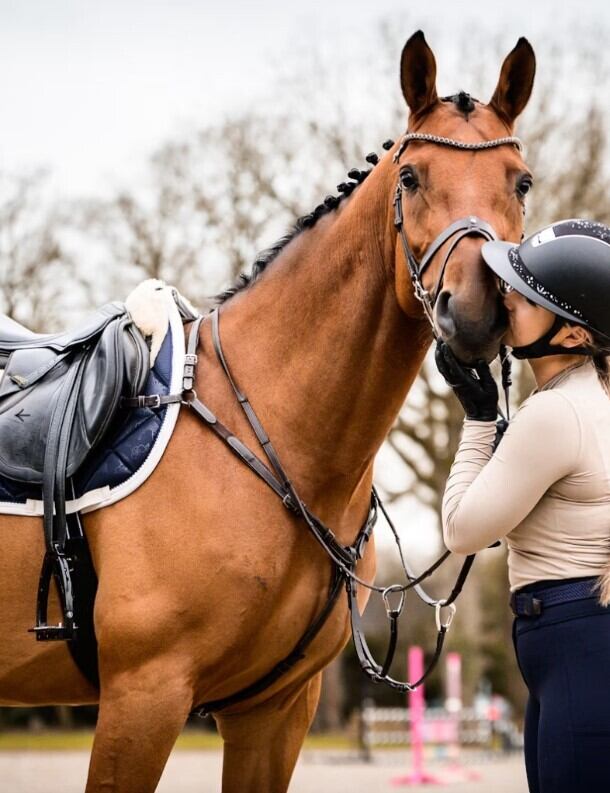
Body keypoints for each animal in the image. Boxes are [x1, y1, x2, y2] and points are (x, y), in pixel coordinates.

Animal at [0, 30, 535, 793]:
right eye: (411, 178)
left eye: (521, 182)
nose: (478, 310)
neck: (275, 433)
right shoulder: (144, 694)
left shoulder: (275, 711)